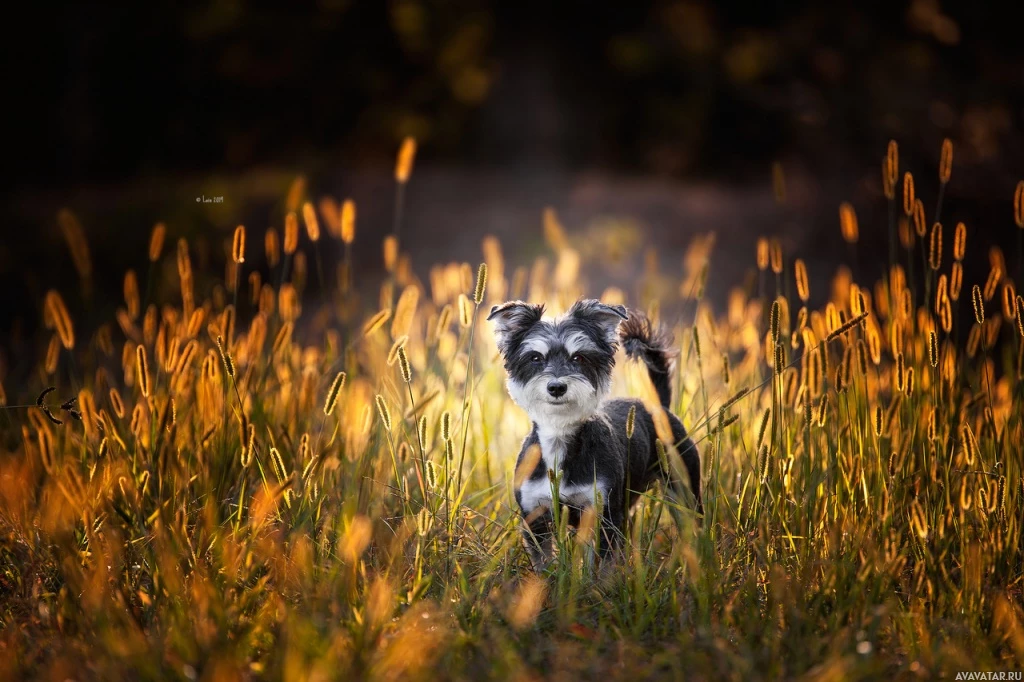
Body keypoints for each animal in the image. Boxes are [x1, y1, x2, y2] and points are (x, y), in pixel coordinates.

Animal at [487, 296, 704, 569]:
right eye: (535, 358)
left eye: (579, 357)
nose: (556, 387)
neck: (560, 443)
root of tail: (660, 409)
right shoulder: (535, 517)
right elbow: (544, 564)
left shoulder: (602, 513)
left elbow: (599, 567)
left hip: (684, 491)